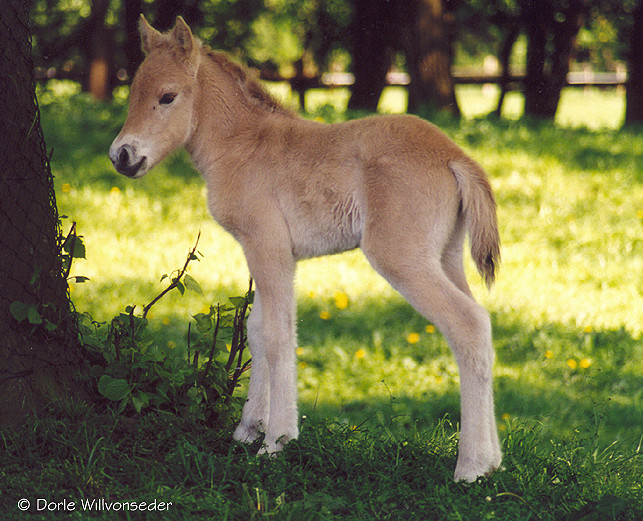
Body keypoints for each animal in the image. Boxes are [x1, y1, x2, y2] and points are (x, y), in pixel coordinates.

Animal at [109, 16, 504, 482]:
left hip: (401, 258)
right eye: (133, 92)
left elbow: (278, 336)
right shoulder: (262, 251)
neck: (243, 144)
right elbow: (256, 332)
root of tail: (455, 156)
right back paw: (493, 460)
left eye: (167, 96)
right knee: (482, 323)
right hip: (445, 256)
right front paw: (247, 431)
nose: (122, 155)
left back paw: (470, 467)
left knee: (468, 324)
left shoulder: (269, 246)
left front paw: (276, 442)